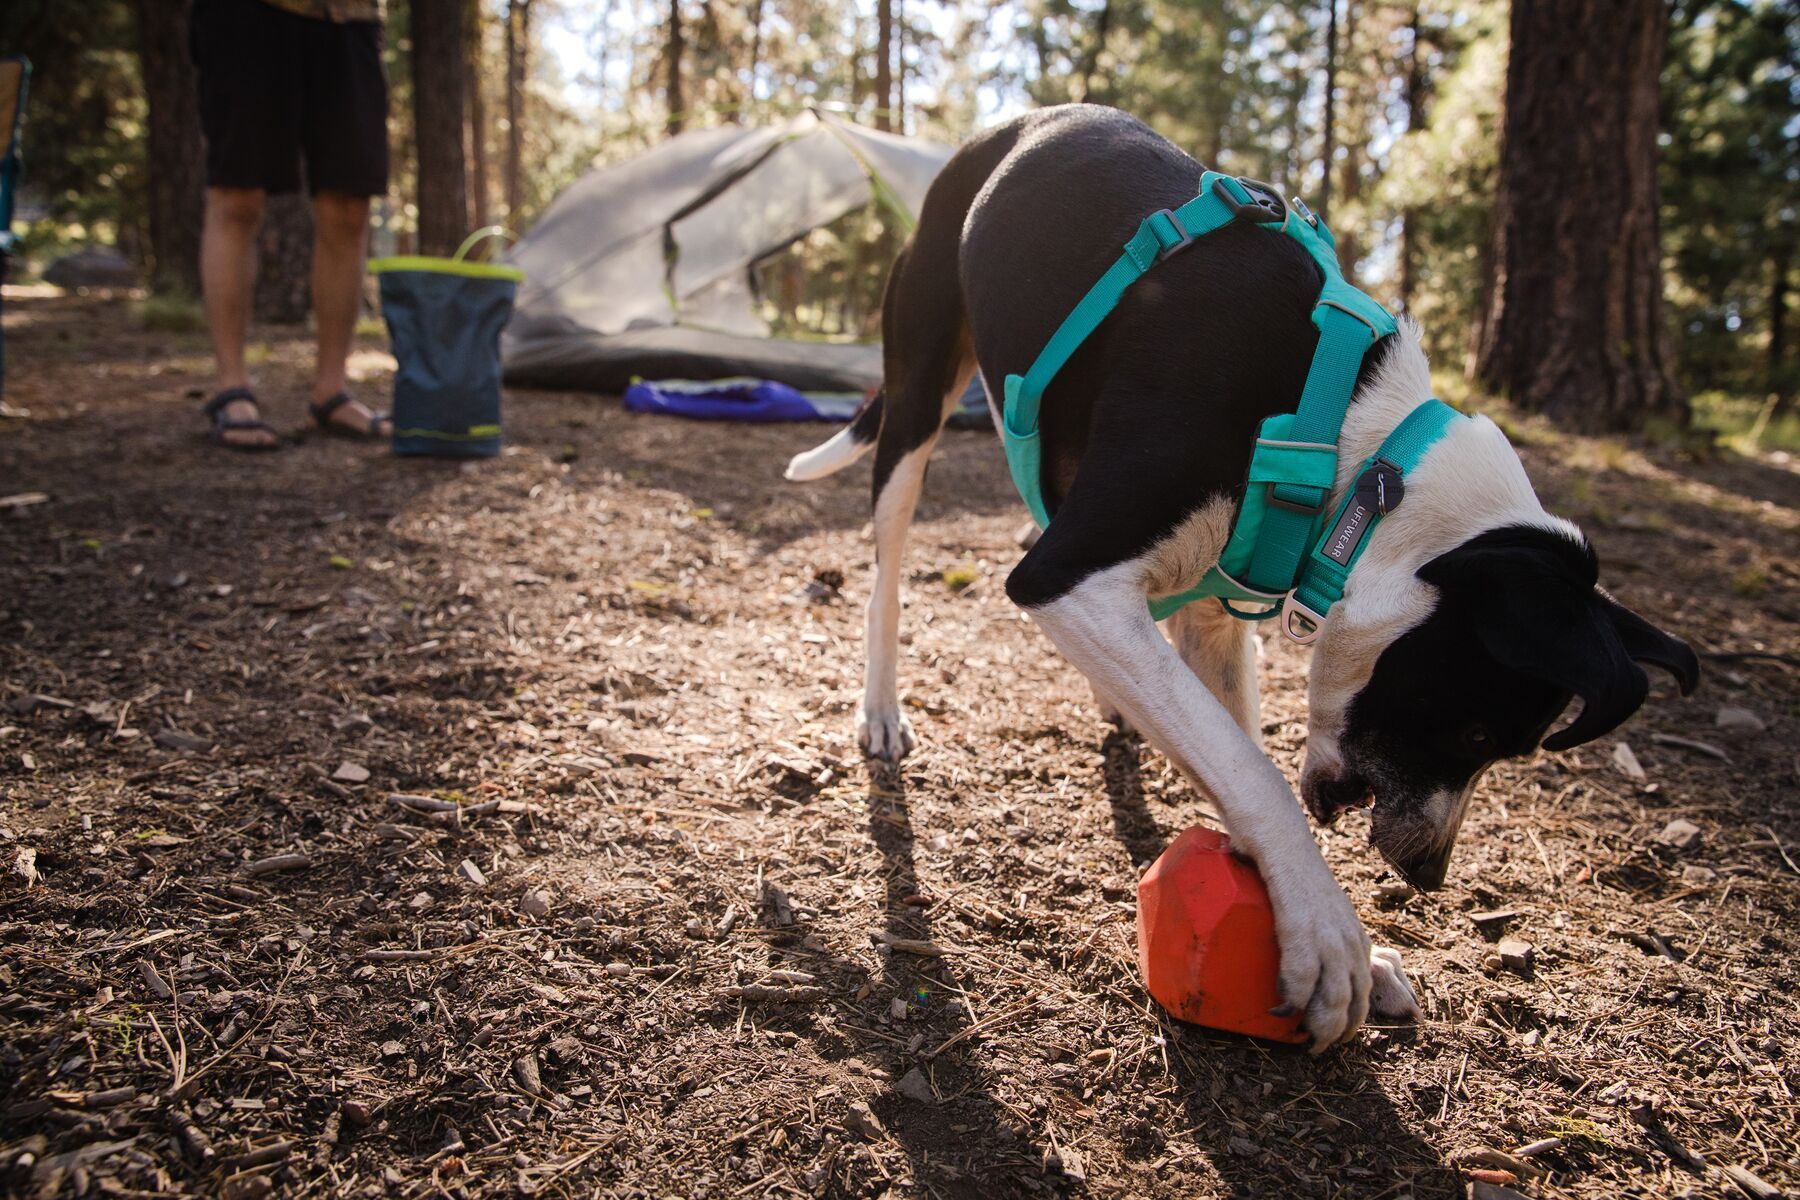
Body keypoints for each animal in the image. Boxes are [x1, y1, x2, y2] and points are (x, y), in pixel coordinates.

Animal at [784, 105, 1684, 1050]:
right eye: (1475, 733)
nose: (1429, 874)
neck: (1359, 448)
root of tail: (1006, 128)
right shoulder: (1066, 576)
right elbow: (1253, 773)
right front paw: (1330, 934)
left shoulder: (1209, 614)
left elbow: (1230, 749)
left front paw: (1315, 913)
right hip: (917, 403)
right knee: (886, 573)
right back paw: (883, 707)